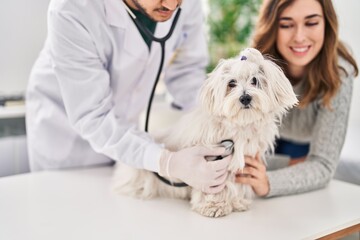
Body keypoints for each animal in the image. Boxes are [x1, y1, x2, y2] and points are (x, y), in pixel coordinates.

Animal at [113, 48, 298, 218]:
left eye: (255, 80)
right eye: (231, 83)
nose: (245, 98)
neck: (238, 126)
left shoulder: (243, 161)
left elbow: (236, 184)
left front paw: (237, 201)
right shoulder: (212, 164)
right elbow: (216, 186)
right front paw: (214, 205)